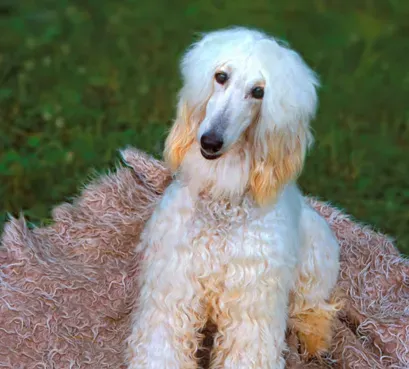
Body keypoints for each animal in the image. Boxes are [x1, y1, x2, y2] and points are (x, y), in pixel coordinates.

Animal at [126, 26, 338, 368]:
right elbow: (162, 344)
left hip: (317, 252)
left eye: (258, 92)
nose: (210, 142)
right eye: (221, 76)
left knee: (313, 306)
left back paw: (315, 339)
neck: (222, 204)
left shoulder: (252, 305)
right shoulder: (173, 288)